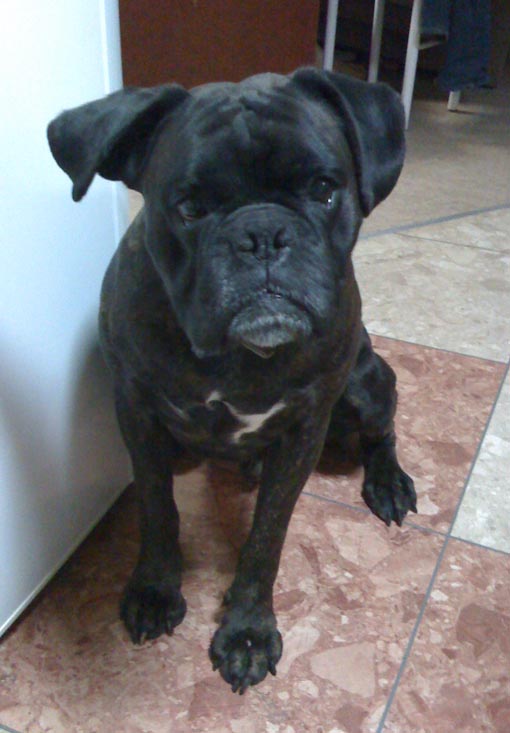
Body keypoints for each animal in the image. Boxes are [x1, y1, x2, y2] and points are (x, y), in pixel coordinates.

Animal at [47, 67, 416, 694]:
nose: (262, 234)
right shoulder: (138, 416)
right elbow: (156, 508)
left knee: (383, 430)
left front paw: (247, 632)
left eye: (324, 188)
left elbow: (267, 537)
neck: (235, 359)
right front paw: (155, 589)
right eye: (190, 206)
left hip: (366, 385)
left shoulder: (303, 431)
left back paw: (388, 482)